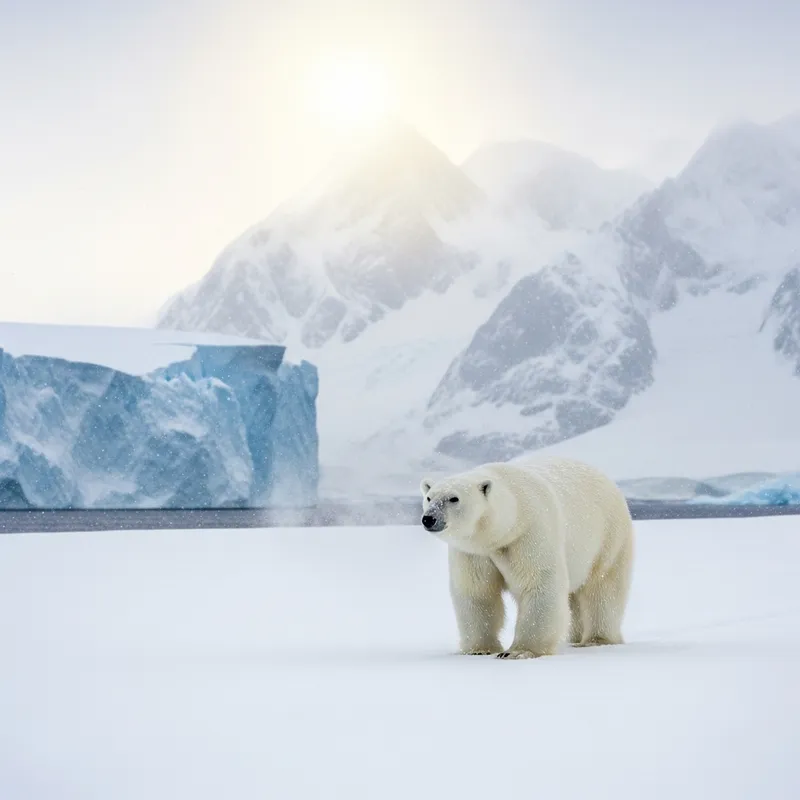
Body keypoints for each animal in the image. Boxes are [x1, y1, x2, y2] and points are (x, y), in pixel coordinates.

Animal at [420, 455, 634, 659]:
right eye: (429, 497)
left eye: (453, 498)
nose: (429, 518)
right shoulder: (473, 552)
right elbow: (477, 591)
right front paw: (479, 649)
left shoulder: (529, 534)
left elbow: (538, 583)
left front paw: (518, 651)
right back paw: (575, 638)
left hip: (609, 536)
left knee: (603, 588)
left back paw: (597, 639)